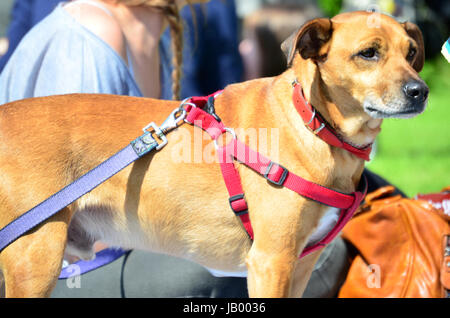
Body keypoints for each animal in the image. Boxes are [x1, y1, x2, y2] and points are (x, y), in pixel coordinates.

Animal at [0, 10, 428, 298]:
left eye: (411, 53)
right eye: (368, 53)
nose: (420, 91)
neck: (311, 121)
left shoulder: (302, 263)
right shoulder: (271, 261)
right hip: (34, 259)